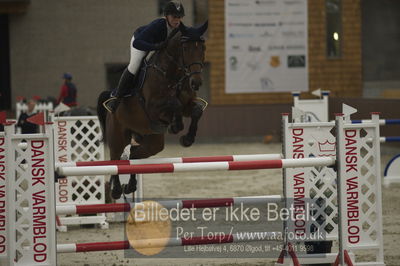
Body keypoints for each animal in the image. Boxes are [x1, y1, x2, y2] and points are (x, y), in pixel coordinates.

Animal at [97, 23, 206, 200]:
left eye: (203, 47)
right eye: (185, 48)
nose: (196, 82)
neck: (173, 74)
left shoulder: (187, 105)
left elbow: (196, 111)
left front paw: (187, 139)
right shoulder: (153, 107)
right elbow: (174, 104)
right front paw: (176, 125)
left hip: (152, 142)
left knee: (133, 155)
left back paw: (130, 186)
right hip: (118, 135)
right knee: (115, 159)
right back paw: (116, 190)